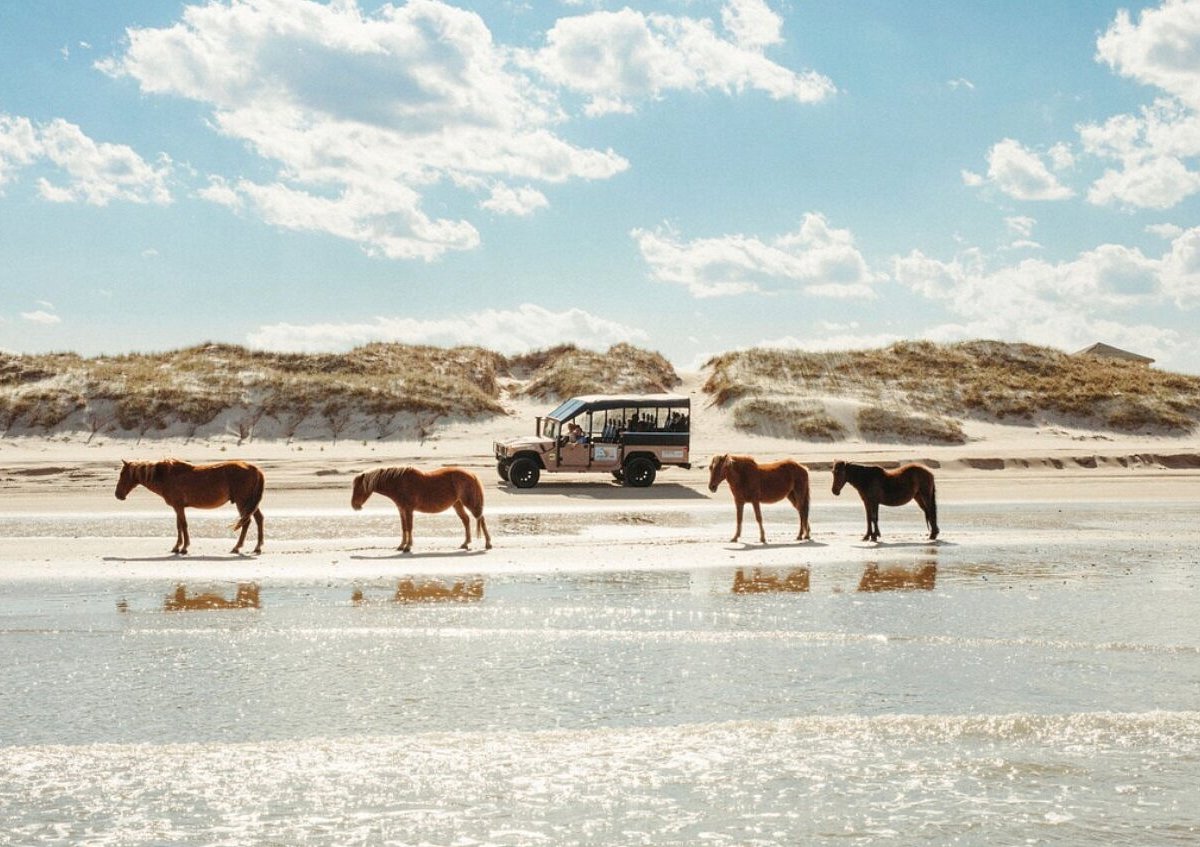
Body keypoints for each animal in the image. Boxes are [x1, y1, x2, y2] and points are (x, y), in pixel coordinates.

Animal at [115, 455, 265, 554]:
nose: (117, 494)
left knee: (247, 522)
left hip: (243, 501)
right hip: (250, 503)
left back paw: (237, 547)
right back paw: (257, 547)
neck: (166, 476)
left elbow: (183, 525)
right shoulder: (177, 507)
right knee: (259, 519)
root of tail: (255, 469)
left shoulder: (178, 506)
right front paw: (177, 547)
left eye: (122, 474)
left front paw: (184, 547)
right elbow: (179, 526)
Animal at [350, 465, 492, 551]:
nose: (354, 505)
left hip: (470, 502)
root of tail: (472, 474)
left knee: (481, 519)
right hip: (457, 504)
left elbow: (409, 527)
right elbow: (404, 528)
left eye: (359, 488)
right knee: (466, 520)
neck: (398, 482)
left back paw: (488, 543)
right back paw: (465, 543)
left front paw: (408, 546)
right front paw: (401, 545)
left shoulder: (408, 510)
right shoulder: (401, 510)